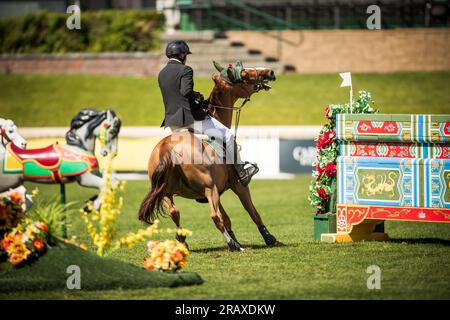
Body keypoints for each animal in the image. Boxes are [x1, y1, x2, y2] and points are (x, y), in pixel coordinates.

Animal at [140, 60, 282, 250]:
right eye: (244, 74)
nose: (270, 72)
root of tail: (166, 148)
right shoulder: (237, 186)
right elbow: (252, 211)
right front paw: (269, 238)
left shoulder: (217, 190)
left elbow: (227, 219)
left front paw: (236, 238)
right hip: (208, 188)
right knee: (214, 216)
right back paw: (234, 245)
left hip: (166, 193)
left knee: (175, 212)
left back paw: (183, 242)